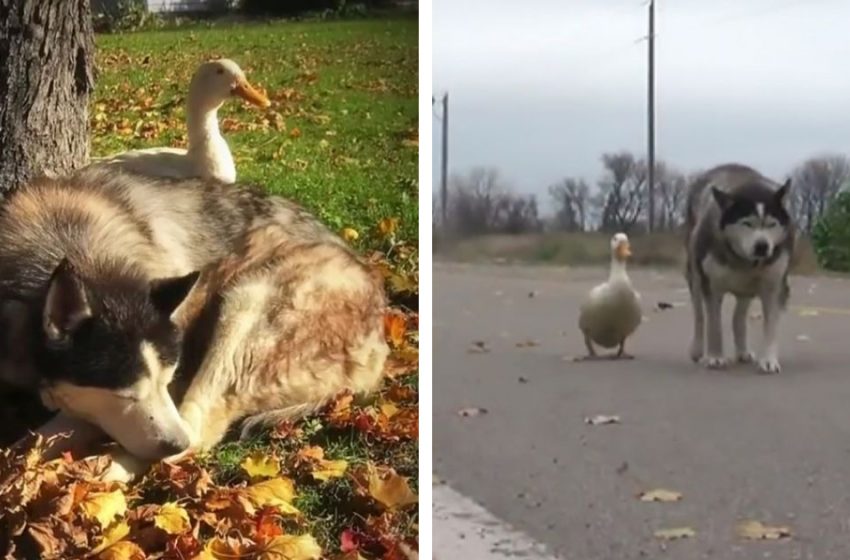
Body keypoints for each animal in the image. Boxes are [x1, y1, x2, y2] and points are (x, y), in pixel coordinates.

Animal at [684, 162, 796, 374]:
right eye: (747, 223)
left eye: (772, 224)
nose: (762, 246)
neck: (744, 261)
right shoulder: (712, 286)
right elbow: (714, 325)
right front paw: (715, 357)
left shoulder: (774, 285)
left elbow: (770, 325)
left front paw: (768, 360)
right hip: (695, 273)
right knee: (699, 314)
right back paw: (696, 350)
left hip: (747, 288)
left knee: (739, 317)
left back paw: (743, 351)